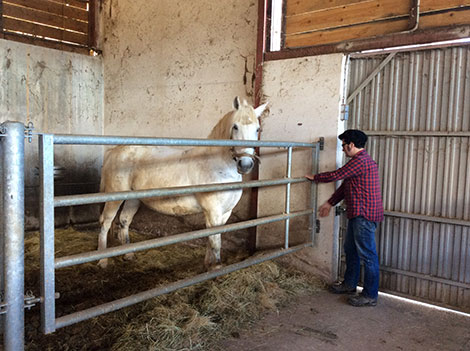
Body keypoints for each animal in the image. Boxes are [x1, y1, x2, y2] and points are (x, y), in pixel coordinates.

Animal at [97, 97, 266, 270]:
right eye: (235, 127)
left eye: (257, 129)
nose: (245, 164)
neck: (216, 166)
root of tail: (114, 152)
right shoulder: (213, 212)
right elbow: (215, 243)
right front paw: (216, 268)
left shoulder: (225, 213)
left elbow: (211, 239)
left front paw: (208, 266)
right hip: (114, 197)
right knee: (106, 222)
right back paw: (103, 261)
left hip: (133, 198)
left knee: (124, 221)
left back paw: (128, 255)